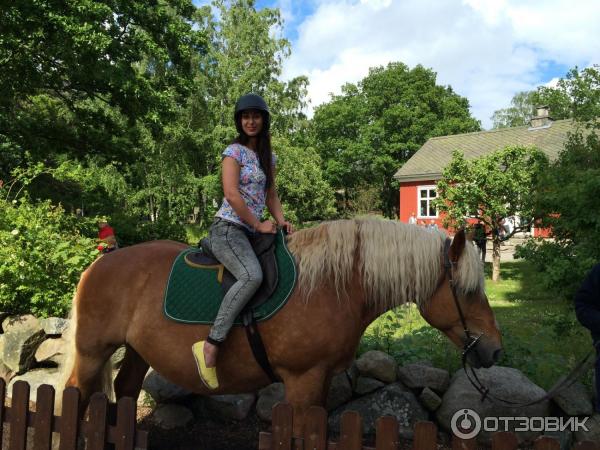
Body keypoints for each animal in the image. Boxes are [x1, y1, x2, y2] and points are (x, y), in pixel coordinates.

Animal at [62, 218, 502, 432]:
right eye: (467, 291)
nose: (496, 349)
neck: (331, 285)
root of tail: (99, 263)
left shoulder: (320, 380)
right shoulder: (302, 380)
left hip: (137, 350)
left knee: (125, 389)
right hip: (92, 352)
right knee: (76, 395)